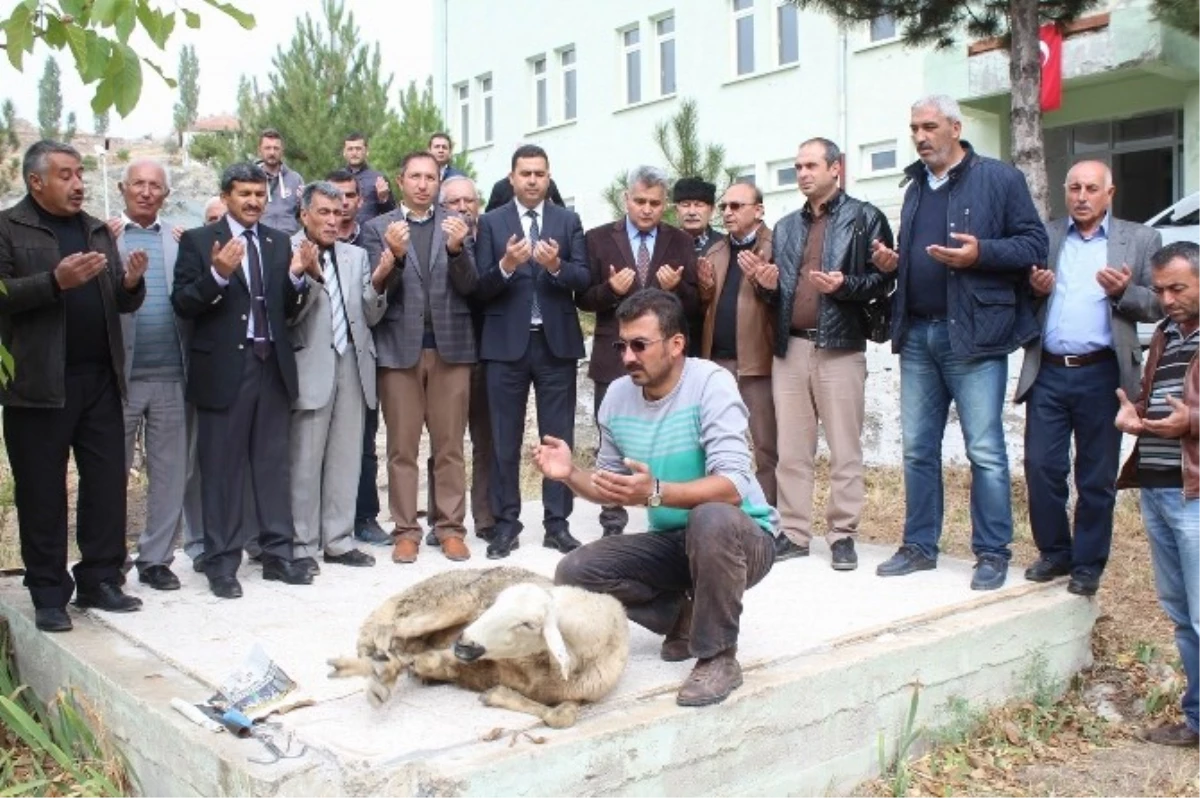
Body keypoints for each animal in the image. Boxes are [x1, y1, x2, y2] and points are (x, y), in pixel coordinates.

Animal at [328, 564, 628, 724]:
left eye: (529, 624)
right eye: (495, 603)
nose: (463, 641)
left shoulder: (580, 694)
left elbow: (561, 717)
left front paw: (497, 694)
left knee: (397, 647)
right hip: (449, 603)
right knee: (386, 632)